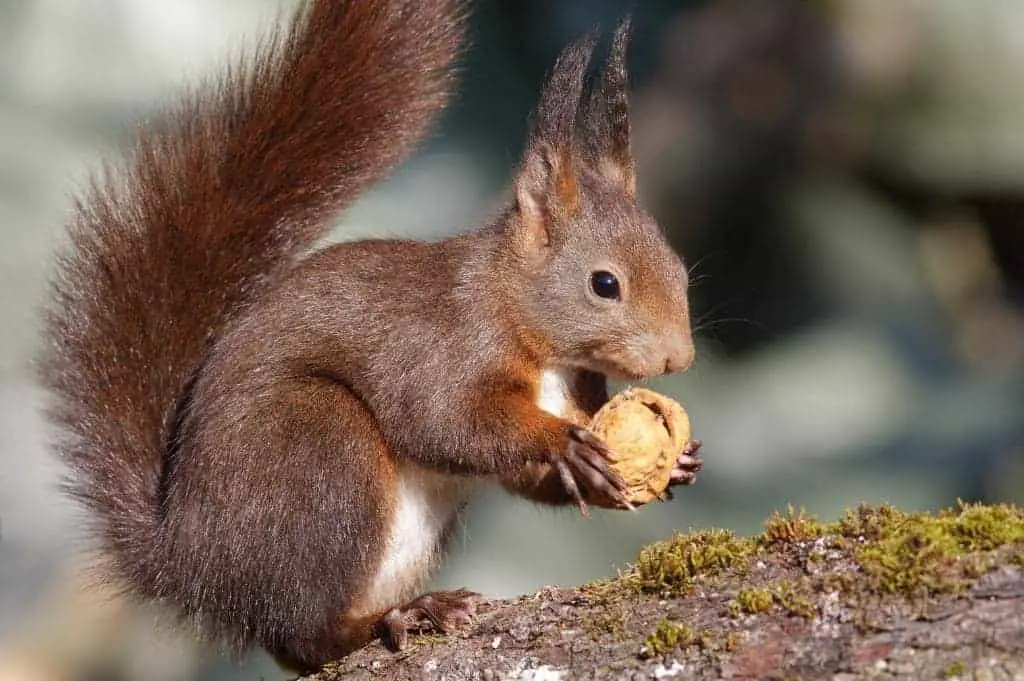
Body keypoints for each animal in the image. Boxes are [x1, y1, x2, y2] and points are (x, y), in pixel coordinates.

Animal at [39, 0, 700, 671]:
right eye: (604, 283)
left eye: (678, 266)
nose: (680, 358)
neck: (529, 330)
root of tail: (191, 564)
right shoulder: (443, 344)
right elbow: (446, 422)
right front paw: (562, 443)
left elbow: (518, 474)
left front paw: (667, 465)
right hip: (319, 451)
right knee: (307, 630)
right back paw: (401, 615)